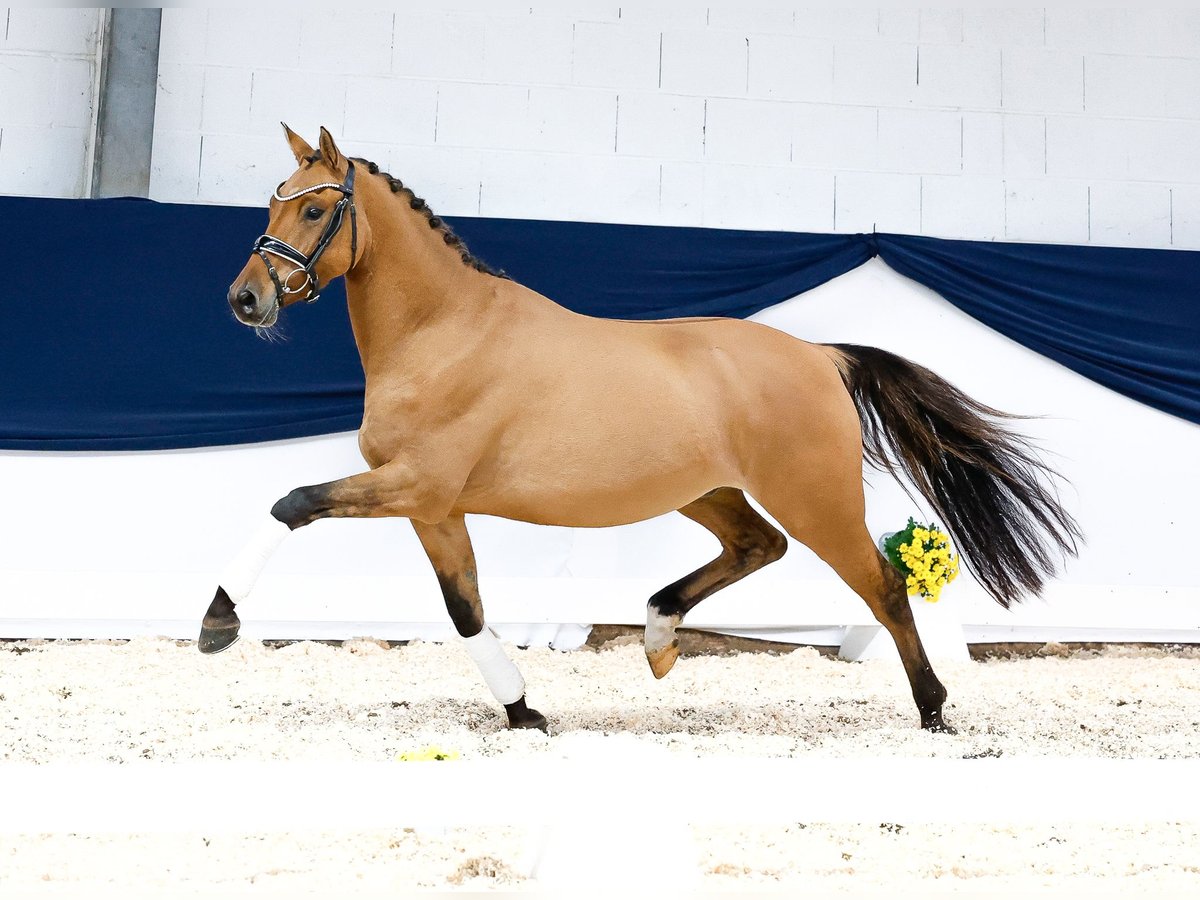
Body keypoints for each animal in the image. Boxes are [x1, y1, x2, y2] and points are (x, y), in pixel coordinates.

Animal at [196, 125, 1080, 734]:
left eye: (315, 206)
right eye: (271, 202)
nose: (245, 300)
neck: (444, 334)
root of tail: (819, 356)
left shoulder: (415, 486)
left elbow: (291, 503)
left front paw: (217, 624)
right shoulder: (434, 509)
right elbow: (466, 610)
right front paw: (524, 712)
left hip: (815, 498)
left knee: (884, 586)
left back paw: (934, 710)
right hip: (710, 493)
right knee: (757, 547)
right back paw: (657, 634)